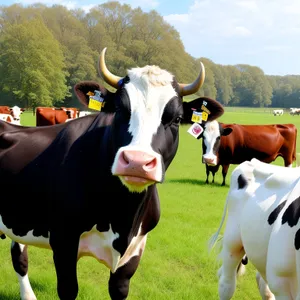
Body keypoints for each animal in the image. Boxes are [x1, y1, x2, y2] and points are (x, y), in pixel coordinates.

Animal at [0, 48, 225, 298]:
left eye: (176, 119)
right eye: (119, 109)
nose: (137, 161)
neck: (123, 216)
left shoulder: (135, 249)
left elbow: (119, 289)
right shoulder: (63, 240)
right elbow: (68, 289)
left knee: (19, 255)